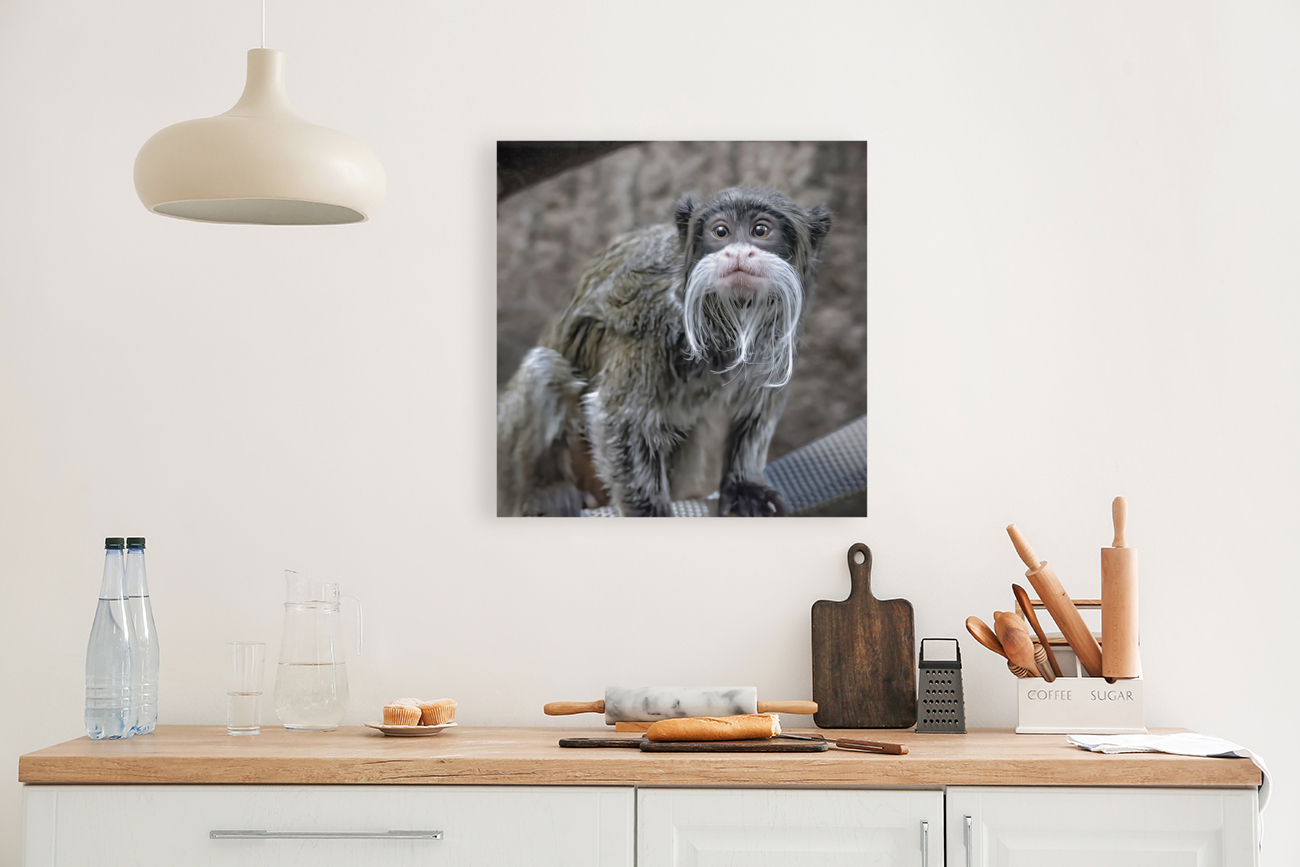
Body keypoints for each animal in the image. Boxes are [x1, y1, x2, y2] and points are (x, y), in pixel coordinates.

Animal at [497, 187, 832, 517]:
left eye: (760, 230)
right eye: (721, 232)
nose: (738, 252)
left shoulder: (777, 333)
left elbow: (757, 412)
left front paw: (743, 486)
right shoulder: (651, 320)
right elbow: (620, 418)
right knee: (544, 369)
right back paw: (545, 494)